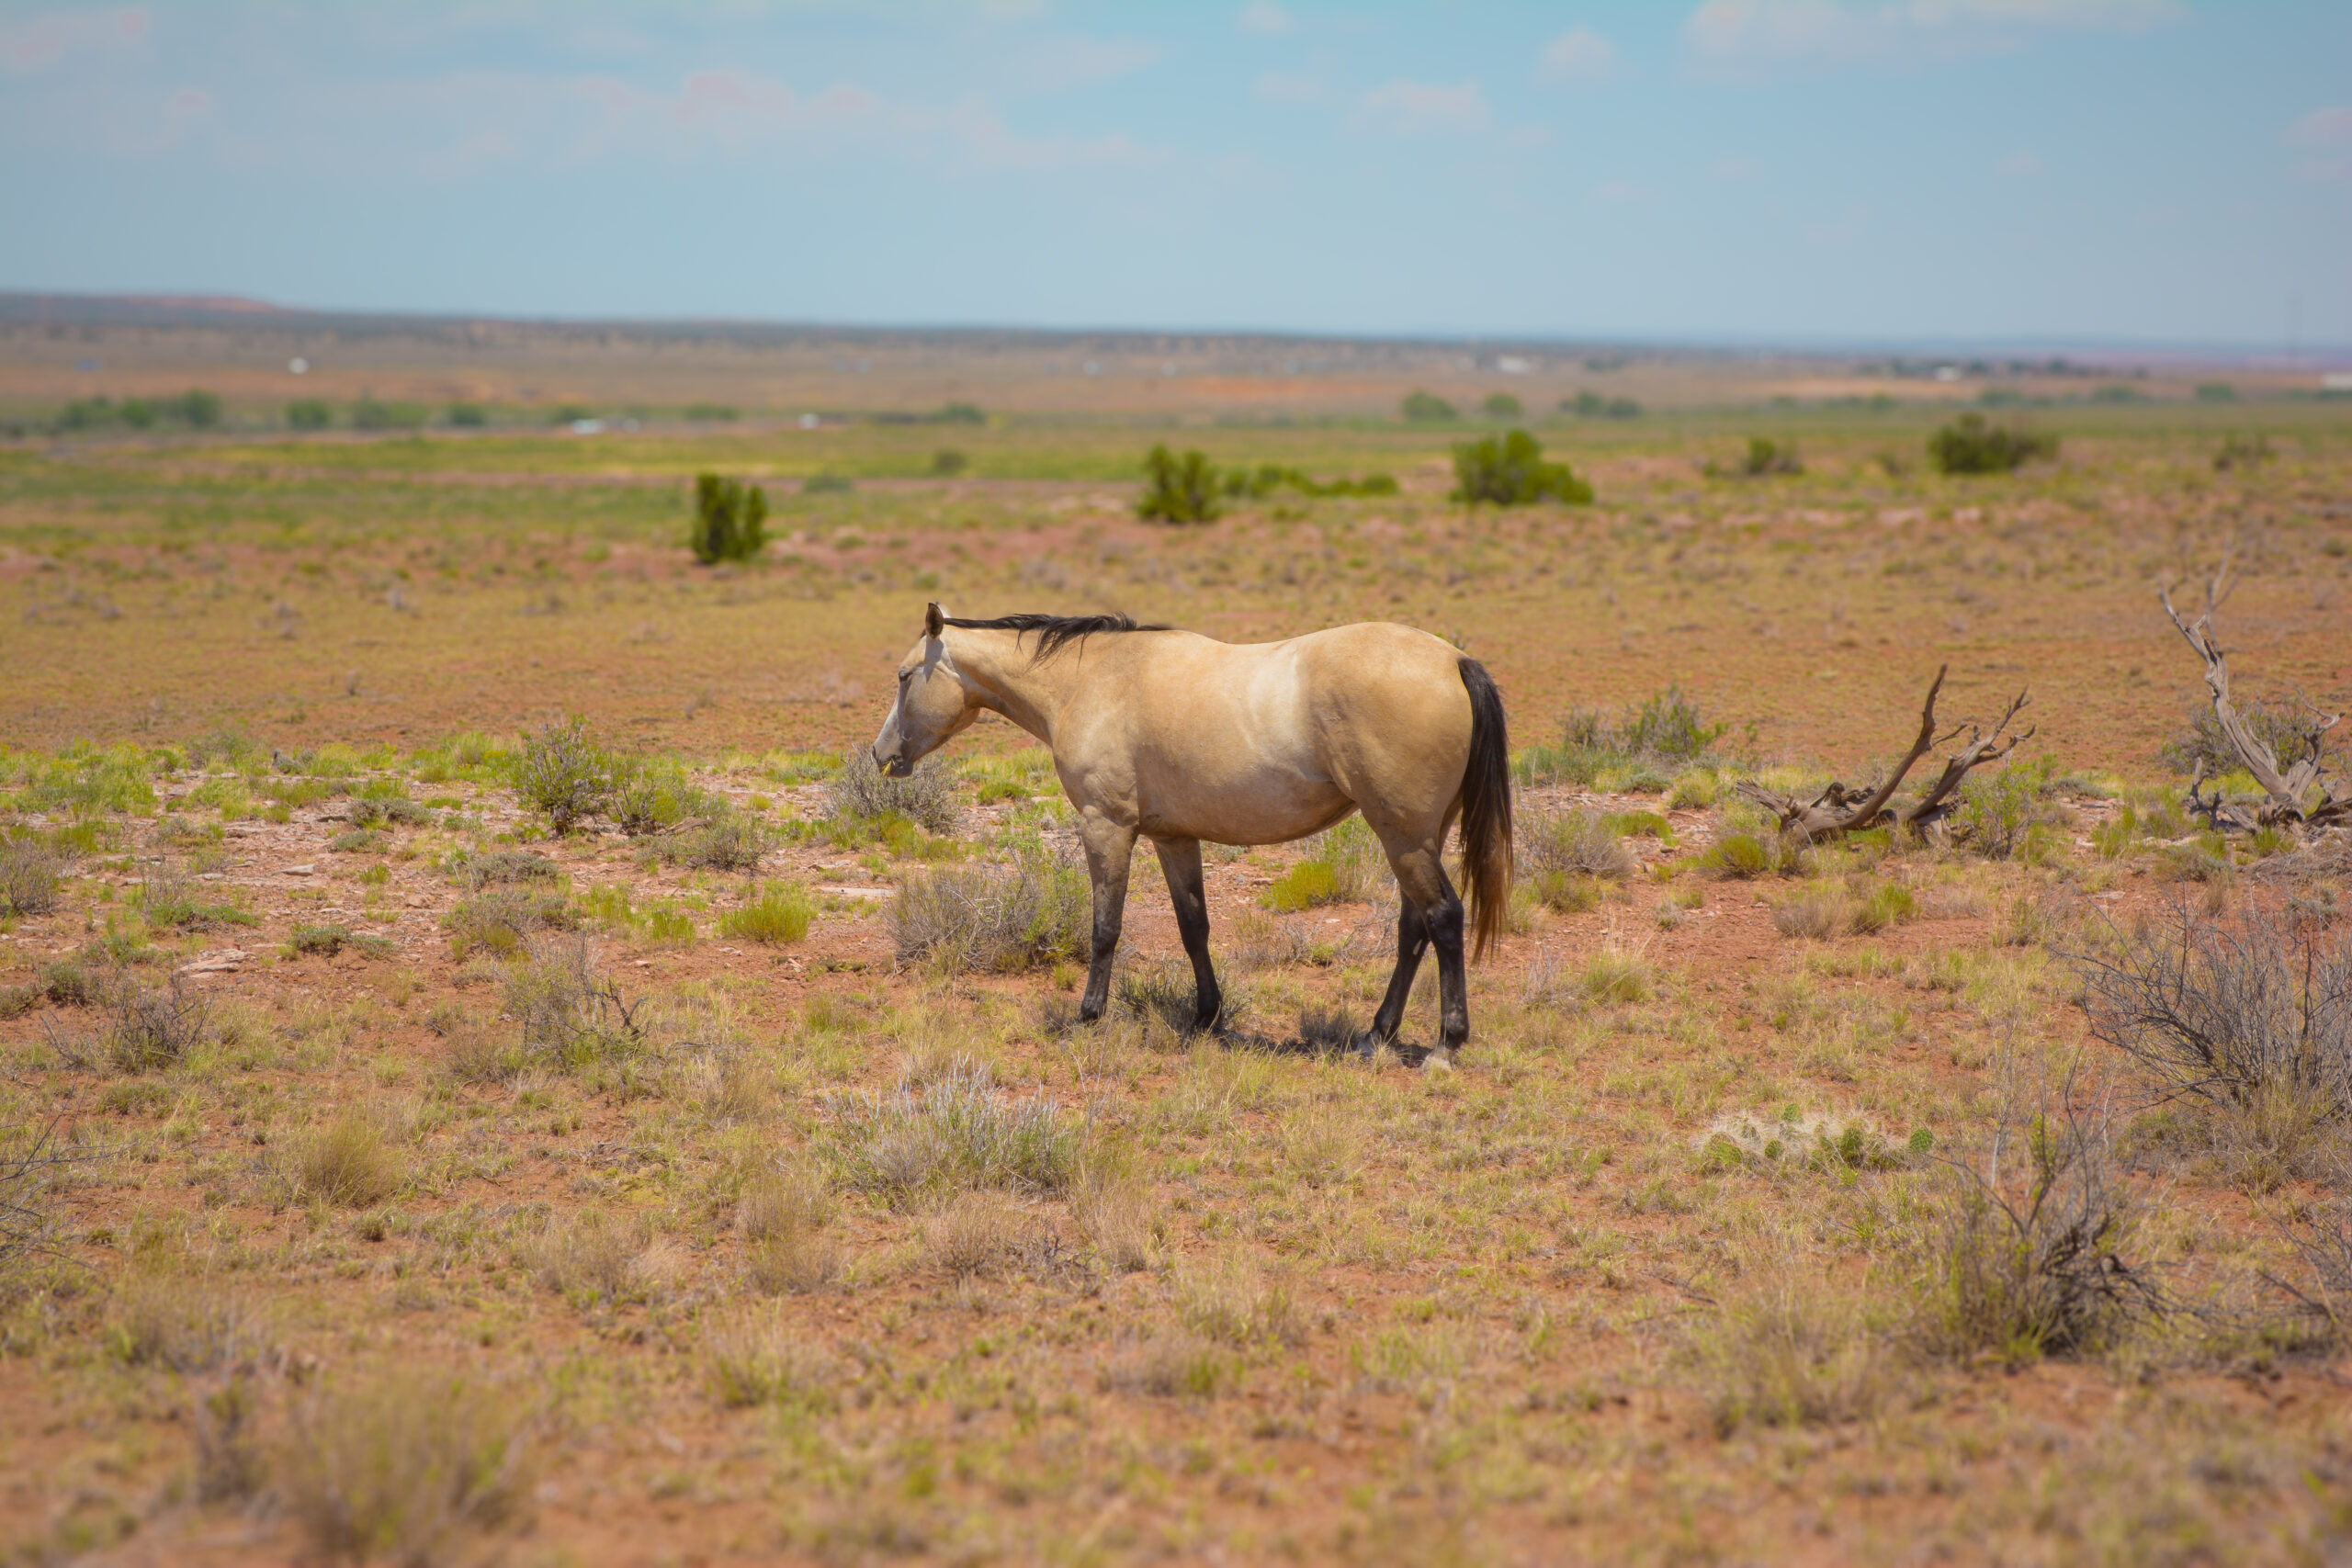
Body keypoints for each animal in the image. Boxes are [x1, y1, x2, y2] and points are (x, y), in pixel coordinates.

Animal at [871, 605, 1513, 1058]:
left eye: (903, 676)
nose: (881, 754)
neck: (1093, 682)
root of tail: (1453, 660)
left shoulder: (1106, 828)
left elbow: (1105, 929)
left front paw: (1088, 1017)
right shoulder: (1173, 838)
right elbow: (1193, 928)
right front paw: (1205, 1017)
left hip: (1402, 836)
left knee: (1442, 918)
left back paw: (1446, 1044)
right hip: (1418, 837)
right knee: (1413, 928)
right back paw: (1377, 1034)